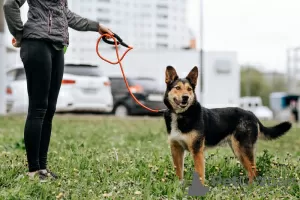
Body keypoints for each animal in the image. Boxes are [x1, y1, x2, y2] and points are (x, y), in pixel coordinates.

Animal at [163, 65, 292, 184]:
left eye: (189, 89)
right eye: (177, 87)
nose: (185, 97)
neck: (181, 115)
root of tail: (252, 114)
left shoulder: (197, 150)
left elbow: (199, 175)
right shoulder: (176, 150)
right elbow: (179, 173)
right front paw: (179, 187)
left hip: (243, 149)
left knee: (254, 172)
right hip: (238, 151)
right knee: (252, 171)